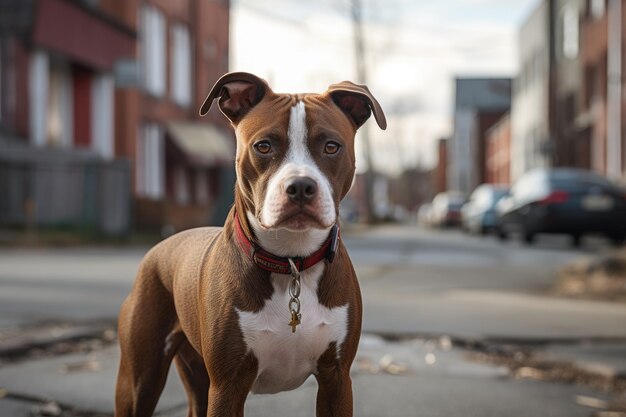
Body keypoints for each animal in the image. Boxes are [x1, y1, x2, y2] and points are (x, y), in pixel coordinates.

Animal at [114, 72, 382, 416]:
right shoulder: (228, 385)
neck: (291, 263)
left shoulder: (336, 378)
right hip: (140, 379)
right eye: (263, 146)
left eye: (332, 146)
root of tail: (162, 246)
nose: (300, 186)